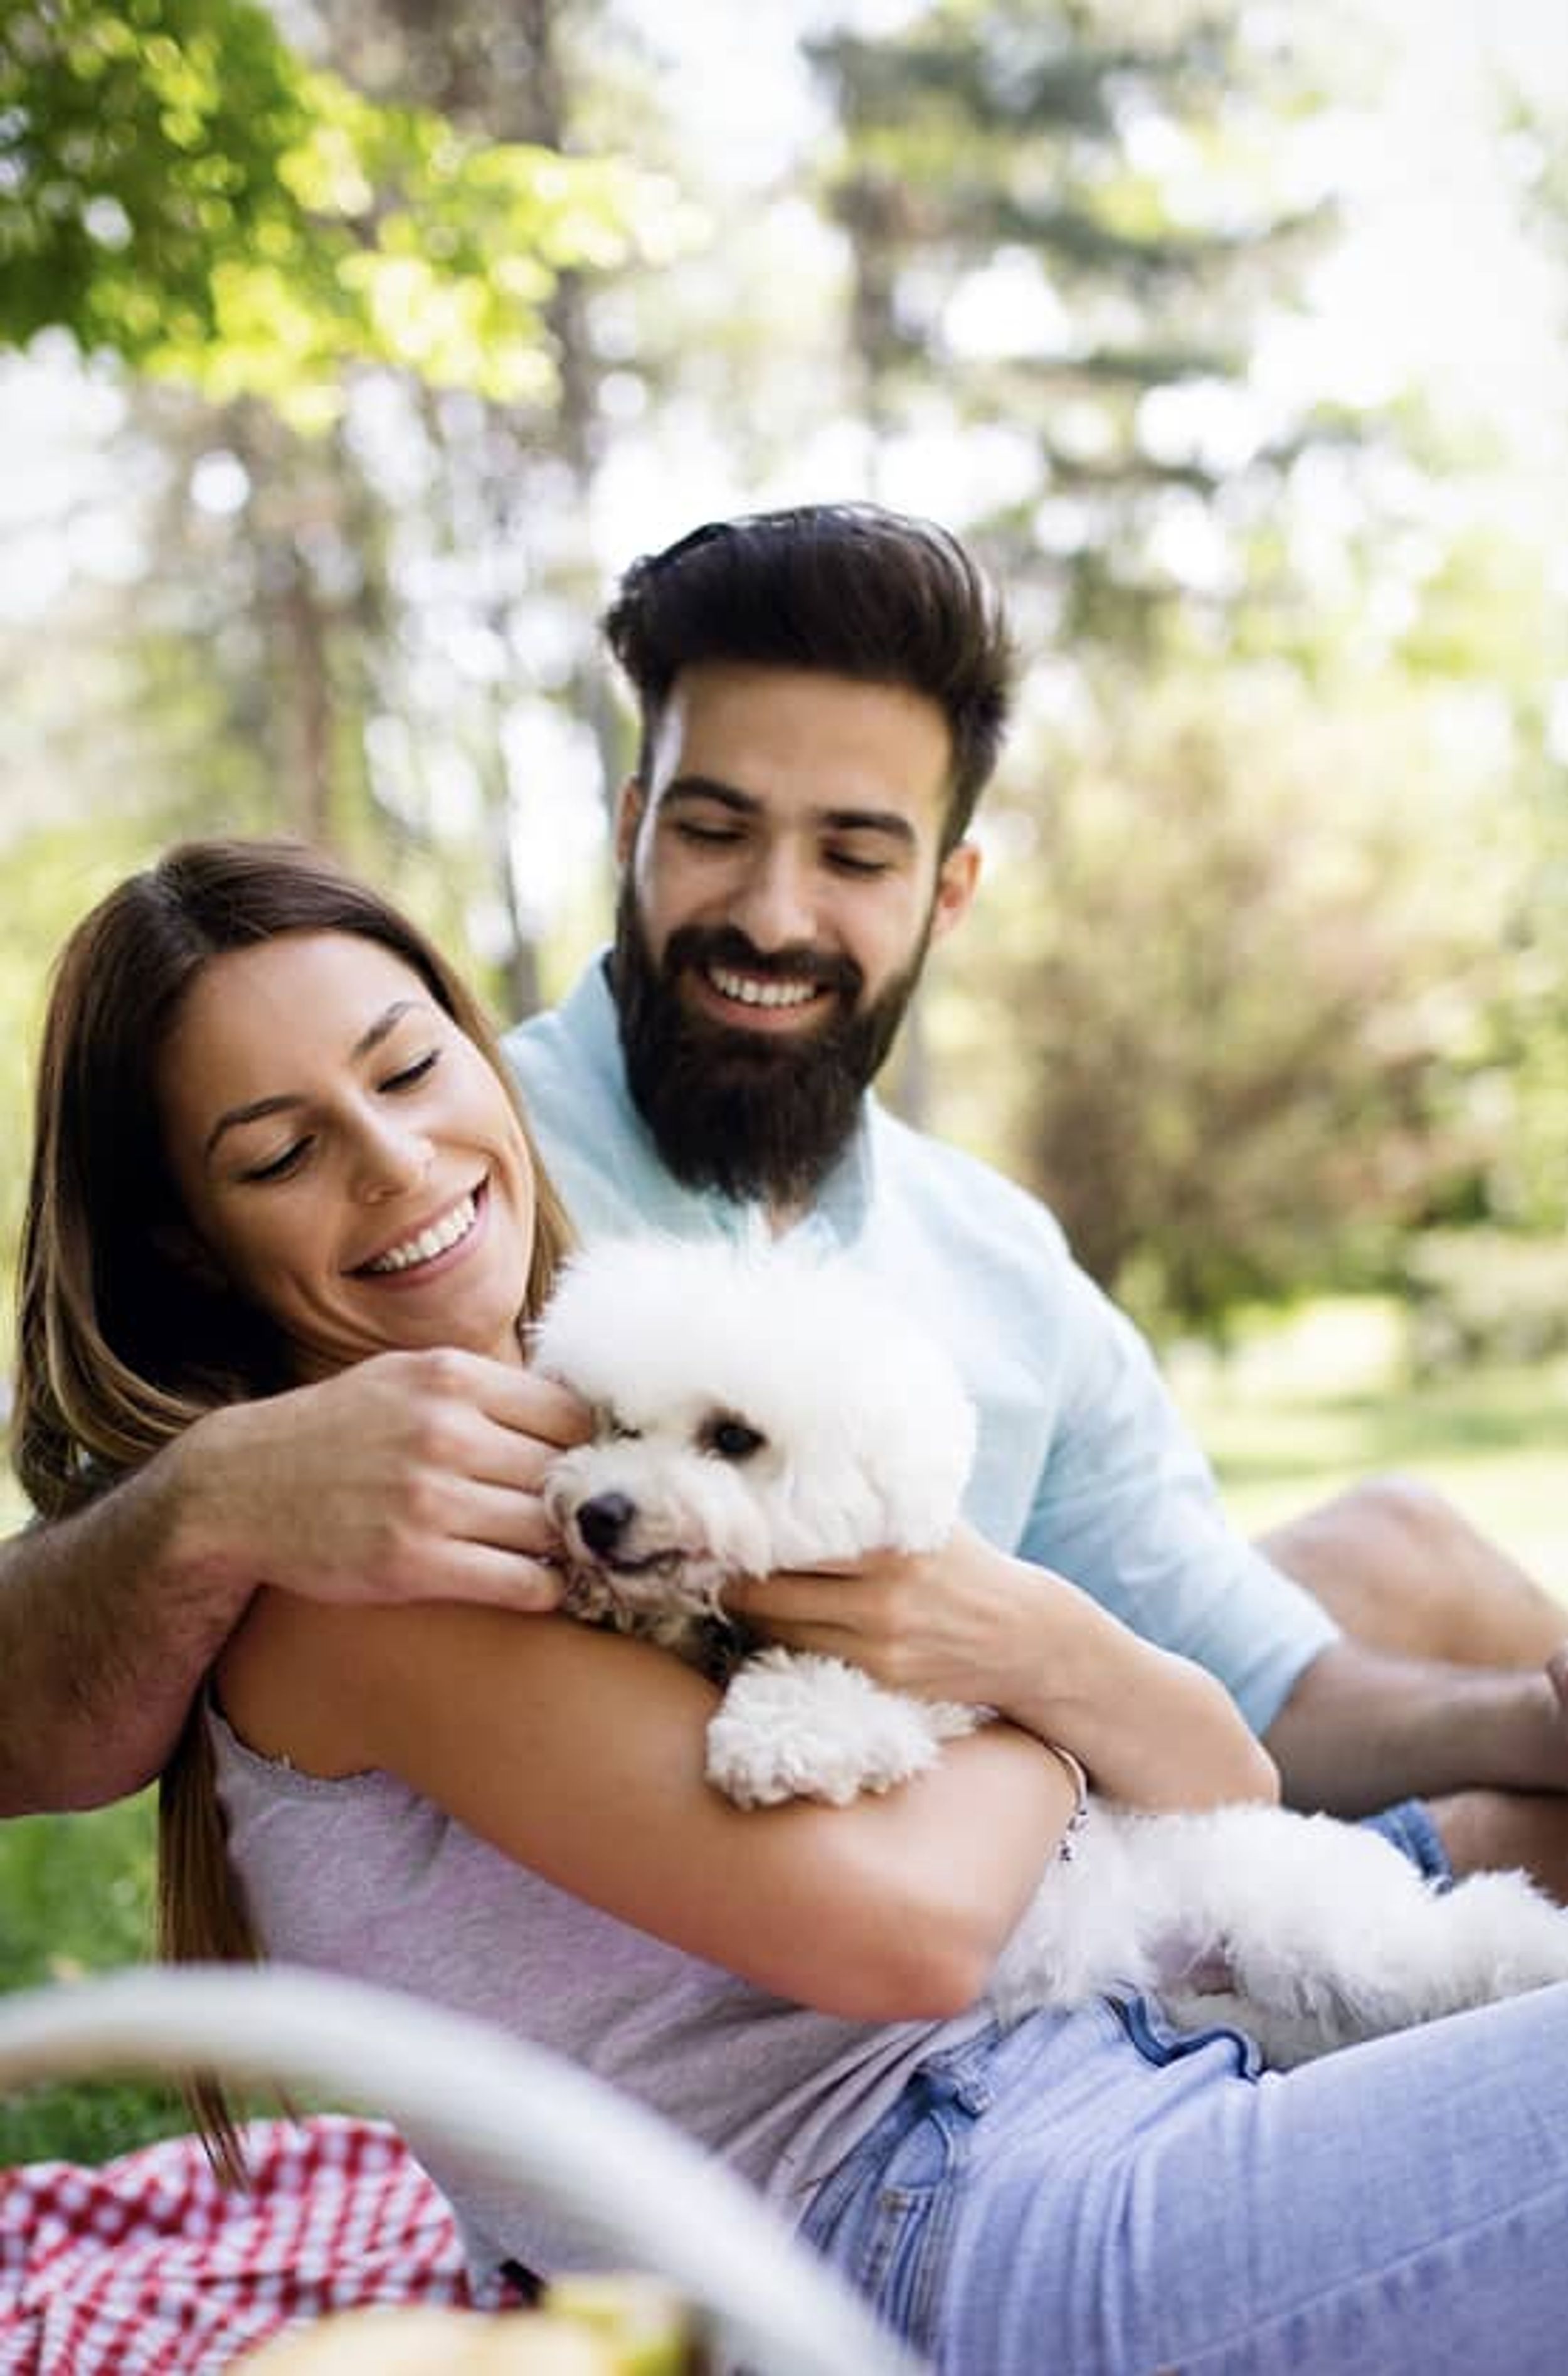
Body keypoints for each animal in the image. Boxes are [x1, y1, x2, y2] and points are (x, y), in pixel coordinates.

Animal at [537, 1235, 1568, 2072]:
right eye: (619, 1424)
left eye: (733, 1437)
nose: (599, 1514)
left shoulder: (944, 1690)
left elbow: (854, 1694)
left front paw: (774, 1738)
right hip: (1248, 1998)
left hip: (1320, 1933)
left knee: (1465, 1931)